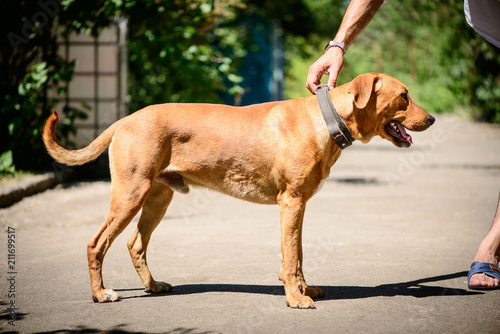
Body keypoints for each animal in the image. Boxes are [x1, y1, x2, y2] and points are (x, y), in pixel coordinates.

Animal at [42, 72, 434, 308]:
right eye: (404, 96)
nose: (431, 118)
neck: (326, 120)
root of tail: (124, 120)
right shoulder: (290, 202)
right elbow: (290, 257)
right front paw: (296, 298)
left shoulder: (299, 205)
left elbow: (298, 254)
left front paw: (304, 288)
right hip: (130, 193)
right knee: (96, 244)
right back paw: (100, 293)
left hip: (158, 197)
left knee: (134, 244)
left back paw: (153, 286)